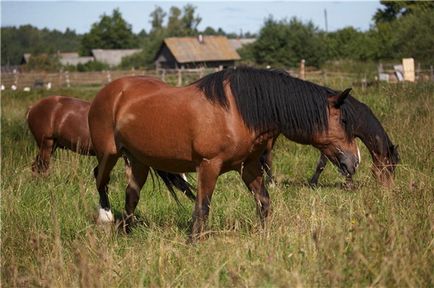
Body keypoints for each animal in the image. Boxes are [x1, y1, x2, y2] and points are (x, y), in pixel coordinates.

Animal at [87, 66, 360, 240]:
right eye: (344, 120)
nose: (354, 161)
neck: (237, 110)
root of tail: (110, 91)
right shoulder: (208, 166)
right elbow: (202, 208)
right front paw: (194, 243)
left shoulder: (249, 166)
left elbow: (264, 202)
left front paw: (264, 237)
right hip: (109, 154)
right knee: (100, 178)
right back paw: (106, 217)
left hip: (139, 161)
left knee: (131, 196)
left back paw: (127, 234)